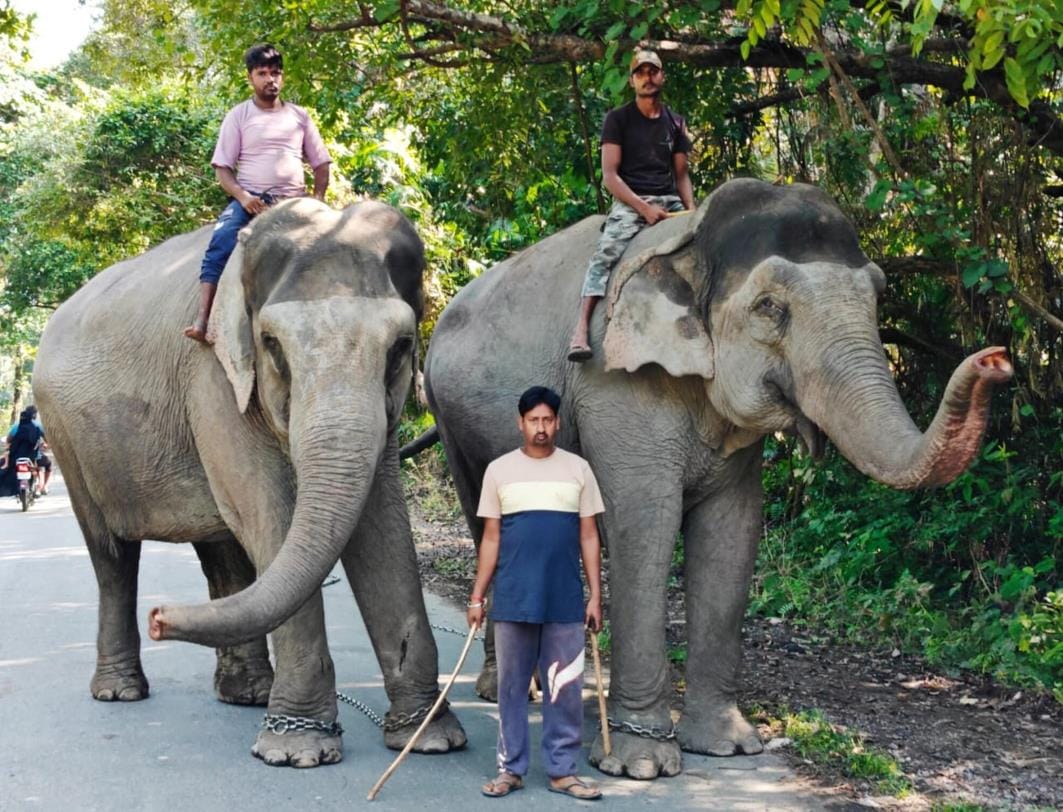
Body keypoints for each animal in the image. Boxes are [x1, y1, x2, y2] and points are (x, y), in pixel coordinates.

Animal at [33, 198, 466, 767]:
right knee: (113, 556)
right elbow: (268, 512)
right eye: (271, 345)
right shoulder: (213, 378)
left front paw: (431, 738)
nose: (160, 618)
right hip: (66, 437)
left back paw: (248, 694)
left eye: (400, 347)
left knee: (223, 552)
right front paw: (297, 750)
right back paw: (119, 691)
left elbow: (382, 525)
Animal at [422, 178, 1012, 780]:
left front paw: (726, 747)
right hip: (450, 419)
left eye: (877, 295)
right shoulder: (615, 385)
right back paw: (510, 691)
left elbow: (733, 533)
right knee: (485, 523)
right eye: (770, 307)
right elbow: (645, 527)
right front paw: (641, 765)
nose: (997, 359)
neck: (692, 242)